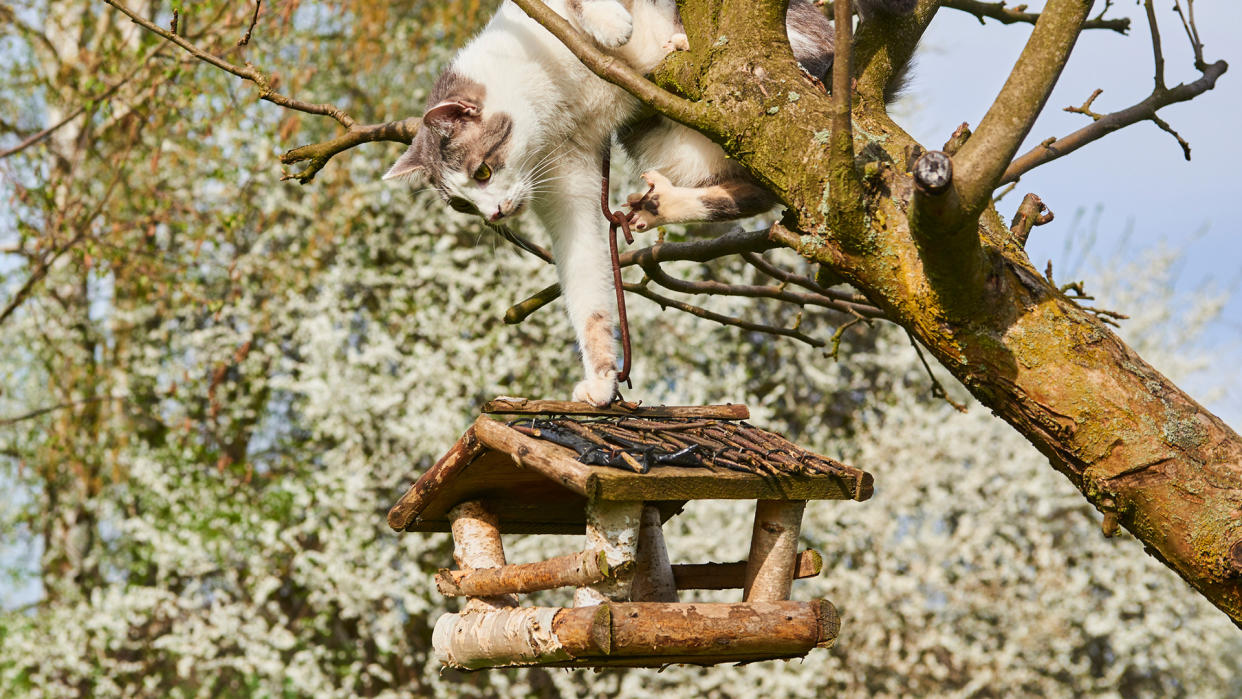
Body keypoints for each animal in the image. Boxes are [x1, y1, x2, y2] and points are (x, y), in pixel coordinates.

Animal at [380, 0, 914, 407]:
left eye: (483, 172)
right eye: (461, 205)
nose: (493, 214)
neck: (554, 106)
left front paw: (615, 27)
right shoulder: (570, 184)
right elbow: (587, 288)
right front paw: (600, 379)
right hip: (685, 142)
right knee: (765, 185)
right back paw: (665, 204)